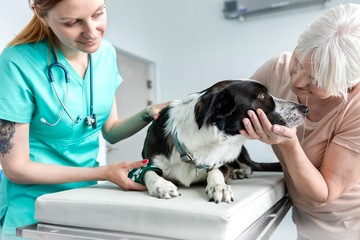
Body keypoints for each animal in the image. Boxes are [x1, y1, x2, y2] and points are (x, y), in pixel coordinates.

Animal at [141, 80, 306, 202]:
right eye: (261, 95)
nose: (305, 109)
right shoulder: (148, 161)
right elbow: (148, 172)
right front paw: (161, 185)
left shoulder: (220, 163)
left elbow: (216, 170)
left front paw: (219, 186)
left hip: (238, 153)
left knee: (249, 166)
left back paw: (240, 171)